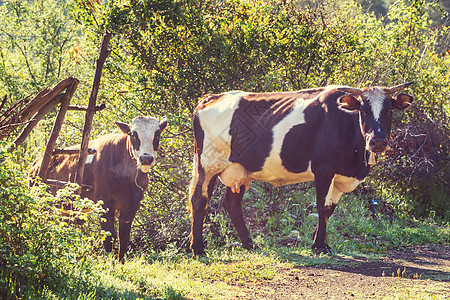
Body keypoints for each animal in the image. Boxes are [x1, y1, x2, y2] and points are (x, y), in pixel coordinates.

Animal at [29, 115, 167, 260]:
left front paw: (121, 261)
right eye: (133, 134)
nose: (146, 158)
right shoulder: (105, 205)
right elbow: (109, 237)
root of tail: (38, 161)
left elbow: (123, 238)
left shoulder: (131, 207)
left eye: (157, 134)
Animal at [188, 84, 414, 255]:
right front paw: (320, 246)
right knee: (199, 200)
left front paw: (318, 241)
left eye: (389, 110)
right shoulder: (323, 169)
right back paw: (198, 249)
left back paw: (250, 245)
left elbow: (330, 209)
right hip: (208, 163)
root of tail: (210, 98)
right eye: (363, 110)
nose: (378, 141)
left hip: (240, 169)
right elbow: (322, 206)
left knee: (232, 204)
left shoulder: (340, 176)